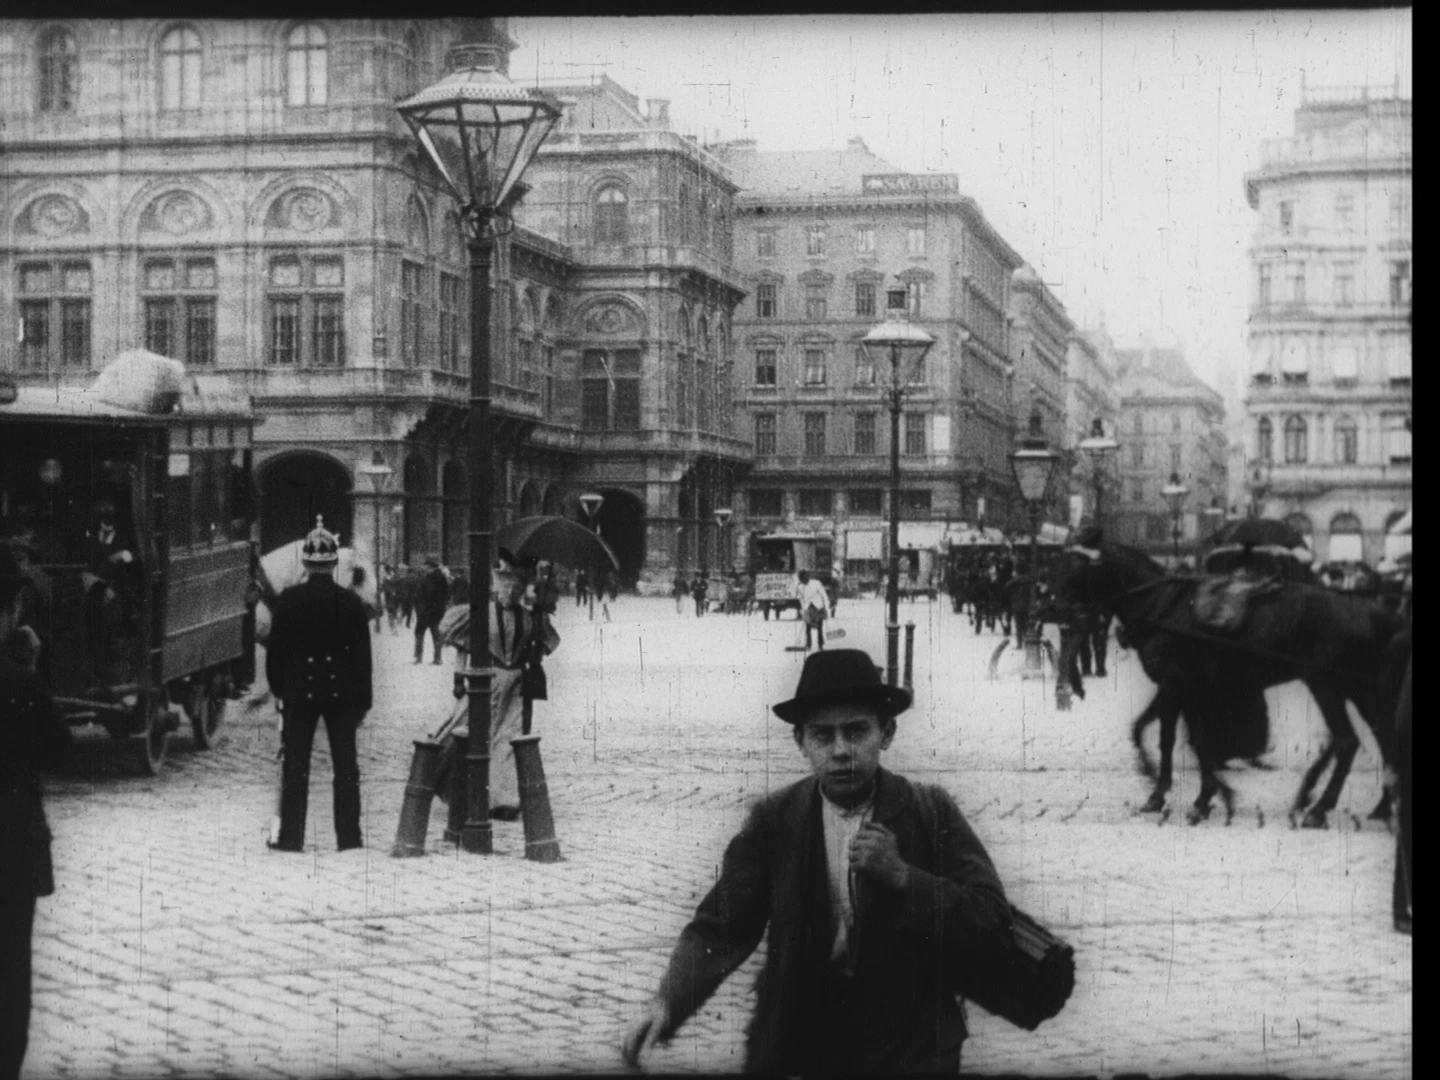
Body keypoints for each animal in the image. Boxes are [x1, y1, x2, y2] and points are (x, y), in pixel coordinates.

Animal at [1048, 541, 1405, 829]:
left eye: (1079, 568)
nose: (1051, 605)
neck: (1161, 604)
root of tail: (1373, 610)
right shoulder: (1186, 689)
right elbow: (1172, 735)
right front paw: (1199, 795)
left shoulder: (1174, 683)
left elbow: (1168, 738)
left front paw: (1176, 793)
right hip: (1362, 691)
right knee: (1385, 738)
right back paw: (1382, 806)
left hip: (1327, 686)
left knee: (1348, 741)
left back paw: (1319, 809)